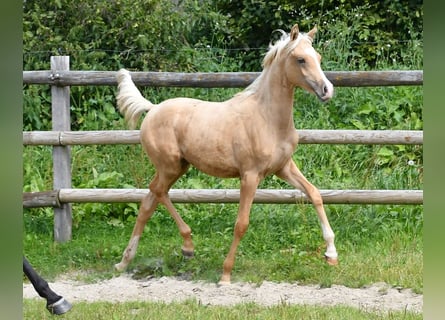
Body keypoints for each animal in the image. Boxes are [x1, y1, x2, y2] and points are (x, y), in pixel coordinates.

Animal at [113, 23, 336, 284]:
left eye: (318, 58)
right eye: (301, 59)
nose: (327, 90)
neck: (267, 118)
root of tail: (153, 109)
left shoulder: (284, 168)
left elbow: (315, 194)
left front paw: (331, 254)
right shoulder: (250, 176)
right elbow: (241, 223)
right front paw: (226, 274)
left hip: (178, 167)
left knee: (149, 201)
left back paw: (126, 261)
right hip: (169, 166)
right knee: (157, 193)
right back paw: (185, 246)